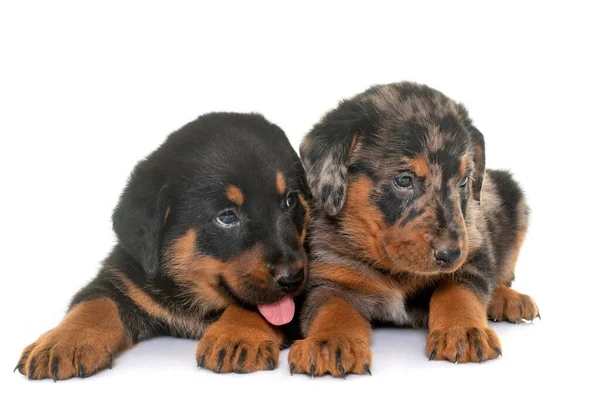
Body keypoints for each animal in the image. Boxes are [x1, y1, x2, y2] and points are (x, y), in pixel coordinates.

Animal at [16, 112, 312, 380]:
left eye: (289, 200)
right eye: (227, 217)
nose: (293, 277)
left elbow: (255, 305)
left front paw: (237, 335)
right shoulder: (121, 276)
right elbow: (94, 303)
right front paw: (63, 342)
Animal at [290, 81, 540, 376]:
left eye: (463, 181)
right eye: (403, 180)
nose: (450, 255)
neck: (395, 270)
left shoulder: (473, 254)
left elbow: (458, 292)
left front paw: (463, 331)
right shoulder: (331, 277)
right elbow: (333, 310)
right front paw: (331, 343)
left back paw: (509, 299)